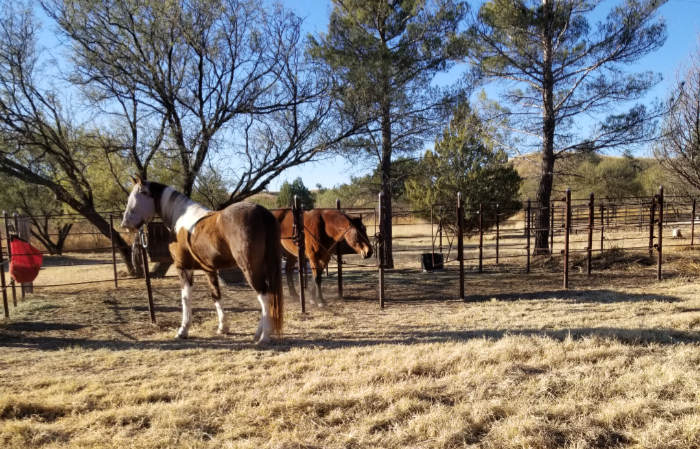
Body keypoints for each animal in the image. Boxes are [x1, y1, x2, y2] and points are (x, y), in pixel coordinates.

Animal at [121, 177, 284, 342]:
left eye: (139, 194)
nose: (125, 224)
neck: (180, 219)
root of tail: (261, 212)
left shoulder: (183, 268)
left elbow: (185, 298)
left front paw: (183, 330)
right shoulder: (209, 270)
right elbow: (216, 296)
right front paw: (223, 328)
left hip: (249, 268)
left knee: (265, 297)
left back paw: (264, 337)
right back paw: (258, 334)